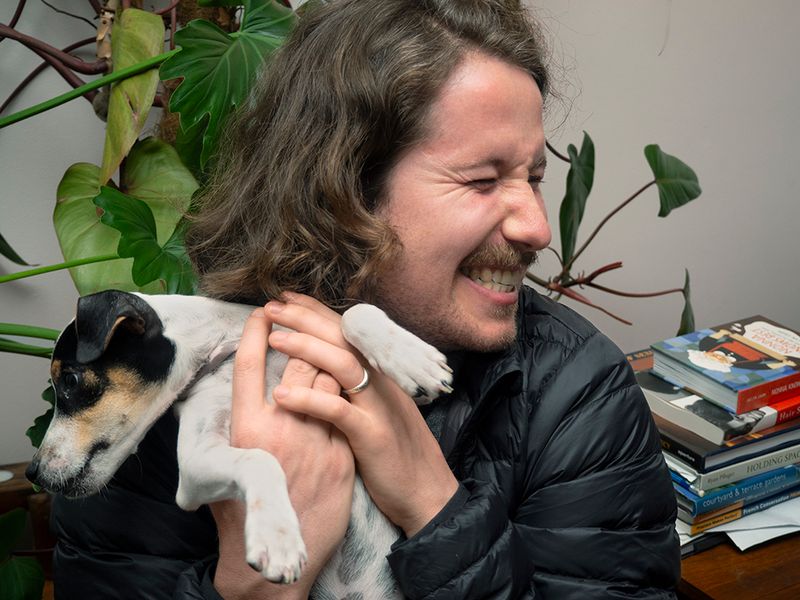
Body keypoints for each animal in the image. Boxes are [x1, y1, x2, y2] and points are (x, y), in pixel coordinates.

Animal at [28, 290, 454, 596]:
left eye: (69, 381)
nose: (33, 473)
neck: (222, 352)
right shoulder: (192, 475)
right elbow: (260, 459)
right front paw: (277, 535)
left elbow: (354, 312)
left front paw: (414, 360)